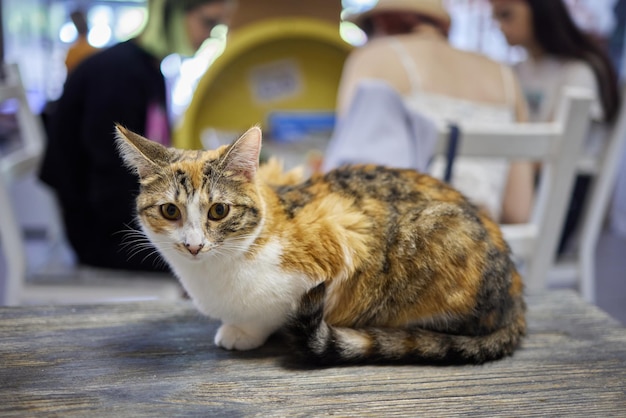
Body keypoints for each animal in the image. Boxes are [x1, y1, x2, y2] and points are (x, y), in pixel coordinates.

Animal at [114, 125, 524, 366]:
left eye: (218, 211)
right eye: (170, 210)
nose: (194, 245)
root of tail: (515, 291)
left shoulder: (340, 238)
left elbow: (274, 311)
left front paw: (244, 332)